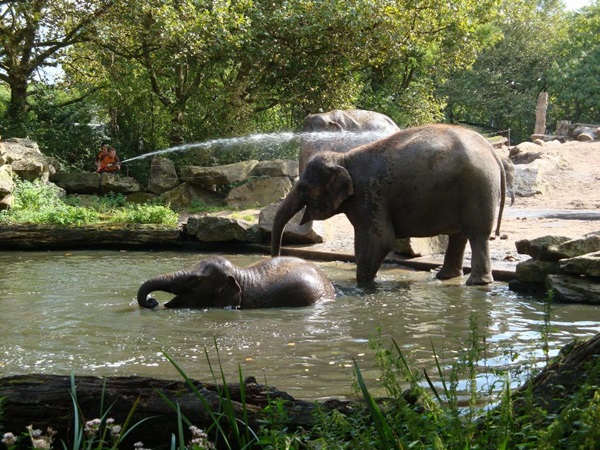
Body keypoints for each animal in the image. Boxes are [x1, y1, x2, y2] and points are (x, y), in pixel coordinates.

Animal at [274, 123, 506, 284]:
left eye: (303, 188)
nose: (275, 260)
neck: (343, 158)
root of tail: (492, 151)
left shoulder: (370, 196)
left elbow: (380, 239)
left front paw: (363, 283)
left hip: (477, 189)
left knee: (477, 234)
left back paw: (476, 283)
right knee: (459, 236)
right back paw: (445, 277)